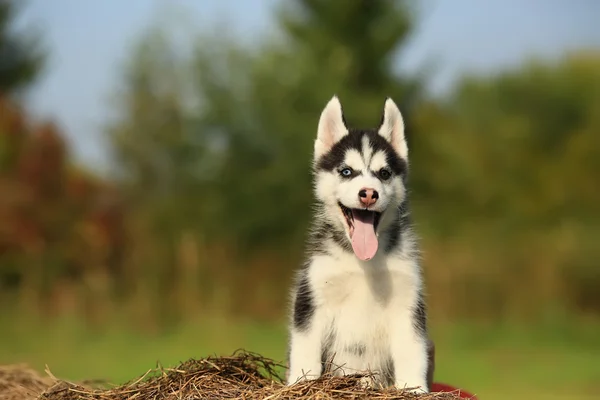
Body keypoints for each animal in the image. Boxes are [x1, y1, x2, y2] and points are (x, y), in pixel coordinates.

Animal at [288, 97, 432, 394]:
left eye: (384, 173)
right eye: (347, 171)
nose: (368, 193)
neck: (362, 263)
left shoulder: (408, 302)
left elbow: (413, 353)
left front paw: (414, 389)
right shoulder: (311, 298)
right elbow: (305, 349)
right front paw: (302, 382)